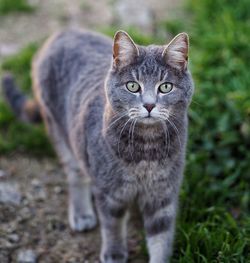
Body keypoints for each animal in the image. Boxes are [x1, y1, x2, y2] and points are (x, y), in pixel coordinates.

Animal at [1, 29, 193, 262]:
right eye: (132, 86)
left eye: (165, 87)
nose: (149, 105)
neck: (146, 152)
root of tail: (60, 33)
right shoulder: (110, 194)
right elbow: (112, 225)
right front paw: (114, 253)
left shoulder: (163, 196)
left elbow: (161, 240)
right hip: (60, 131)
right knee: (76, 174)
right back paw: (82, 213)